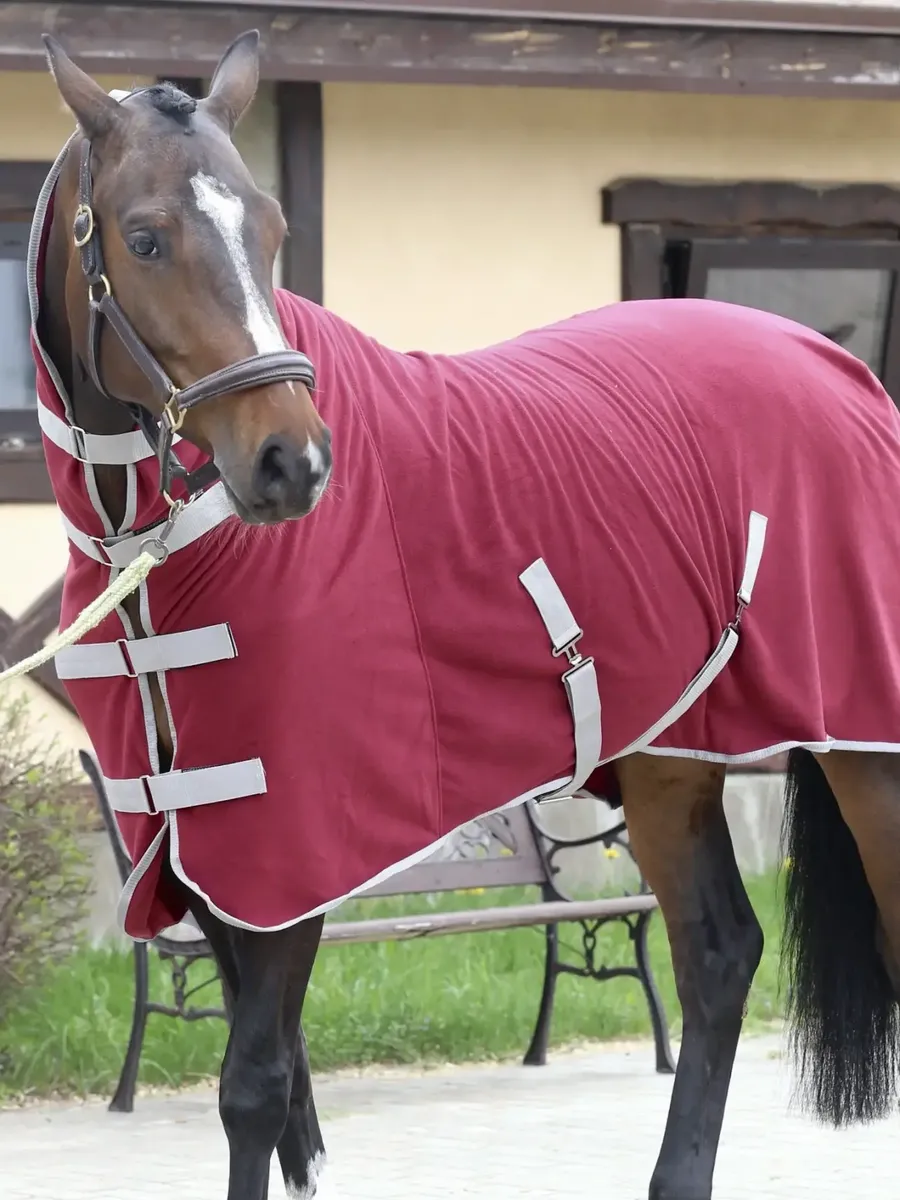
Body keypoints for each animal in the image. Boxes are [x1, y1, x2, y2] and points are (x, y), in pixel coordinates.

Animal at [32, 29, 900, 1200]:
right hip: (674, 753)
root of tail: (844, 368)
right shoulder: (204, 856)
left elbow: (255, 1087)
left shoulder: (291, 847)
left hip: (866, 749)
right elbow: (287, 1101)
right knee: (718, 958)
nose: (293, 463)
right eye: (145, 236)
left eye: (270, 229)